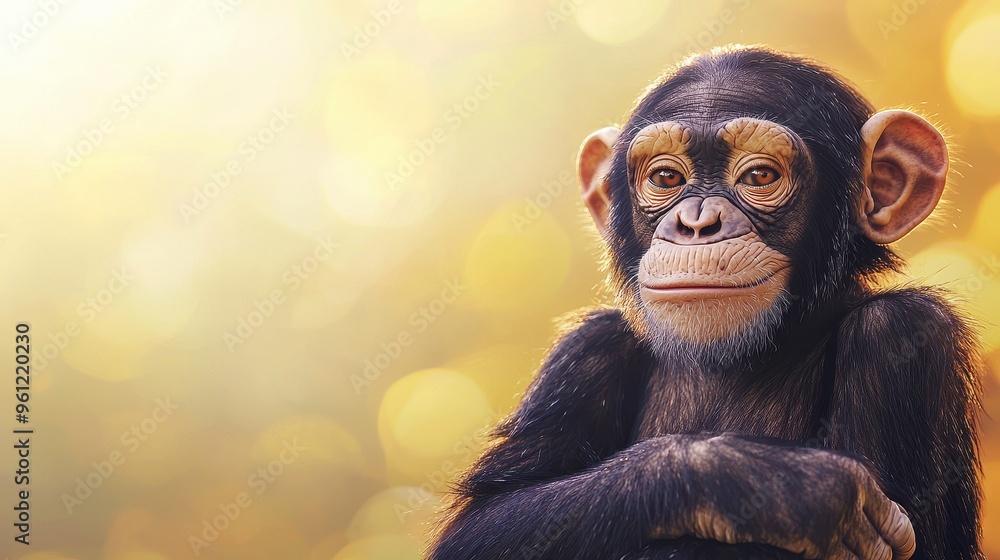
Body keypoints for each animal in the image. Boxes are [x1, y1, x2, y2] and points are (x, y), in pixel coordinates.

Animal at [427, 46, 982, 560]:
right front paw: (775, 485)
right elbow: (489, 522)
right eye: (666, 179)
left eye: (758, 177)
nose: (697, 223)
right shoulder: (586, 349)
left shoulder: (904, 333)